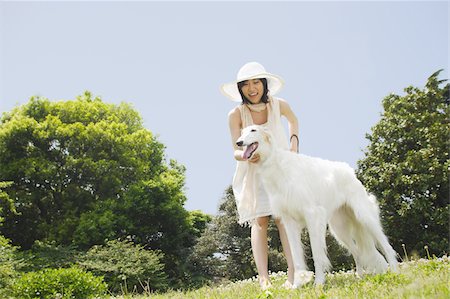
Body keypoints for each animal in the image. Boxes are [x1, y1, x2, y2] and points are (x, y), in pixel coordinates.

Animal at [236, 126, 398, 288]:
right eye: (242, 132)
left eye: (253, 130)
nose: (238, 142)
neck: (276, 165)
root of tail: (348, 170)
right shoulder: (289, 222)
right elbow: (296, 257)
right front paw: (296, 286)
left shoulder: (312, 214)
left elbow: (317, 254)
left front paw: (319, 283)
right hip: (339, 230)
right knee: (357, 252)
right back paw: (360, 276)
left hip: (364, 217)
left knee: (387, 246)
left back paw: (395, 271)